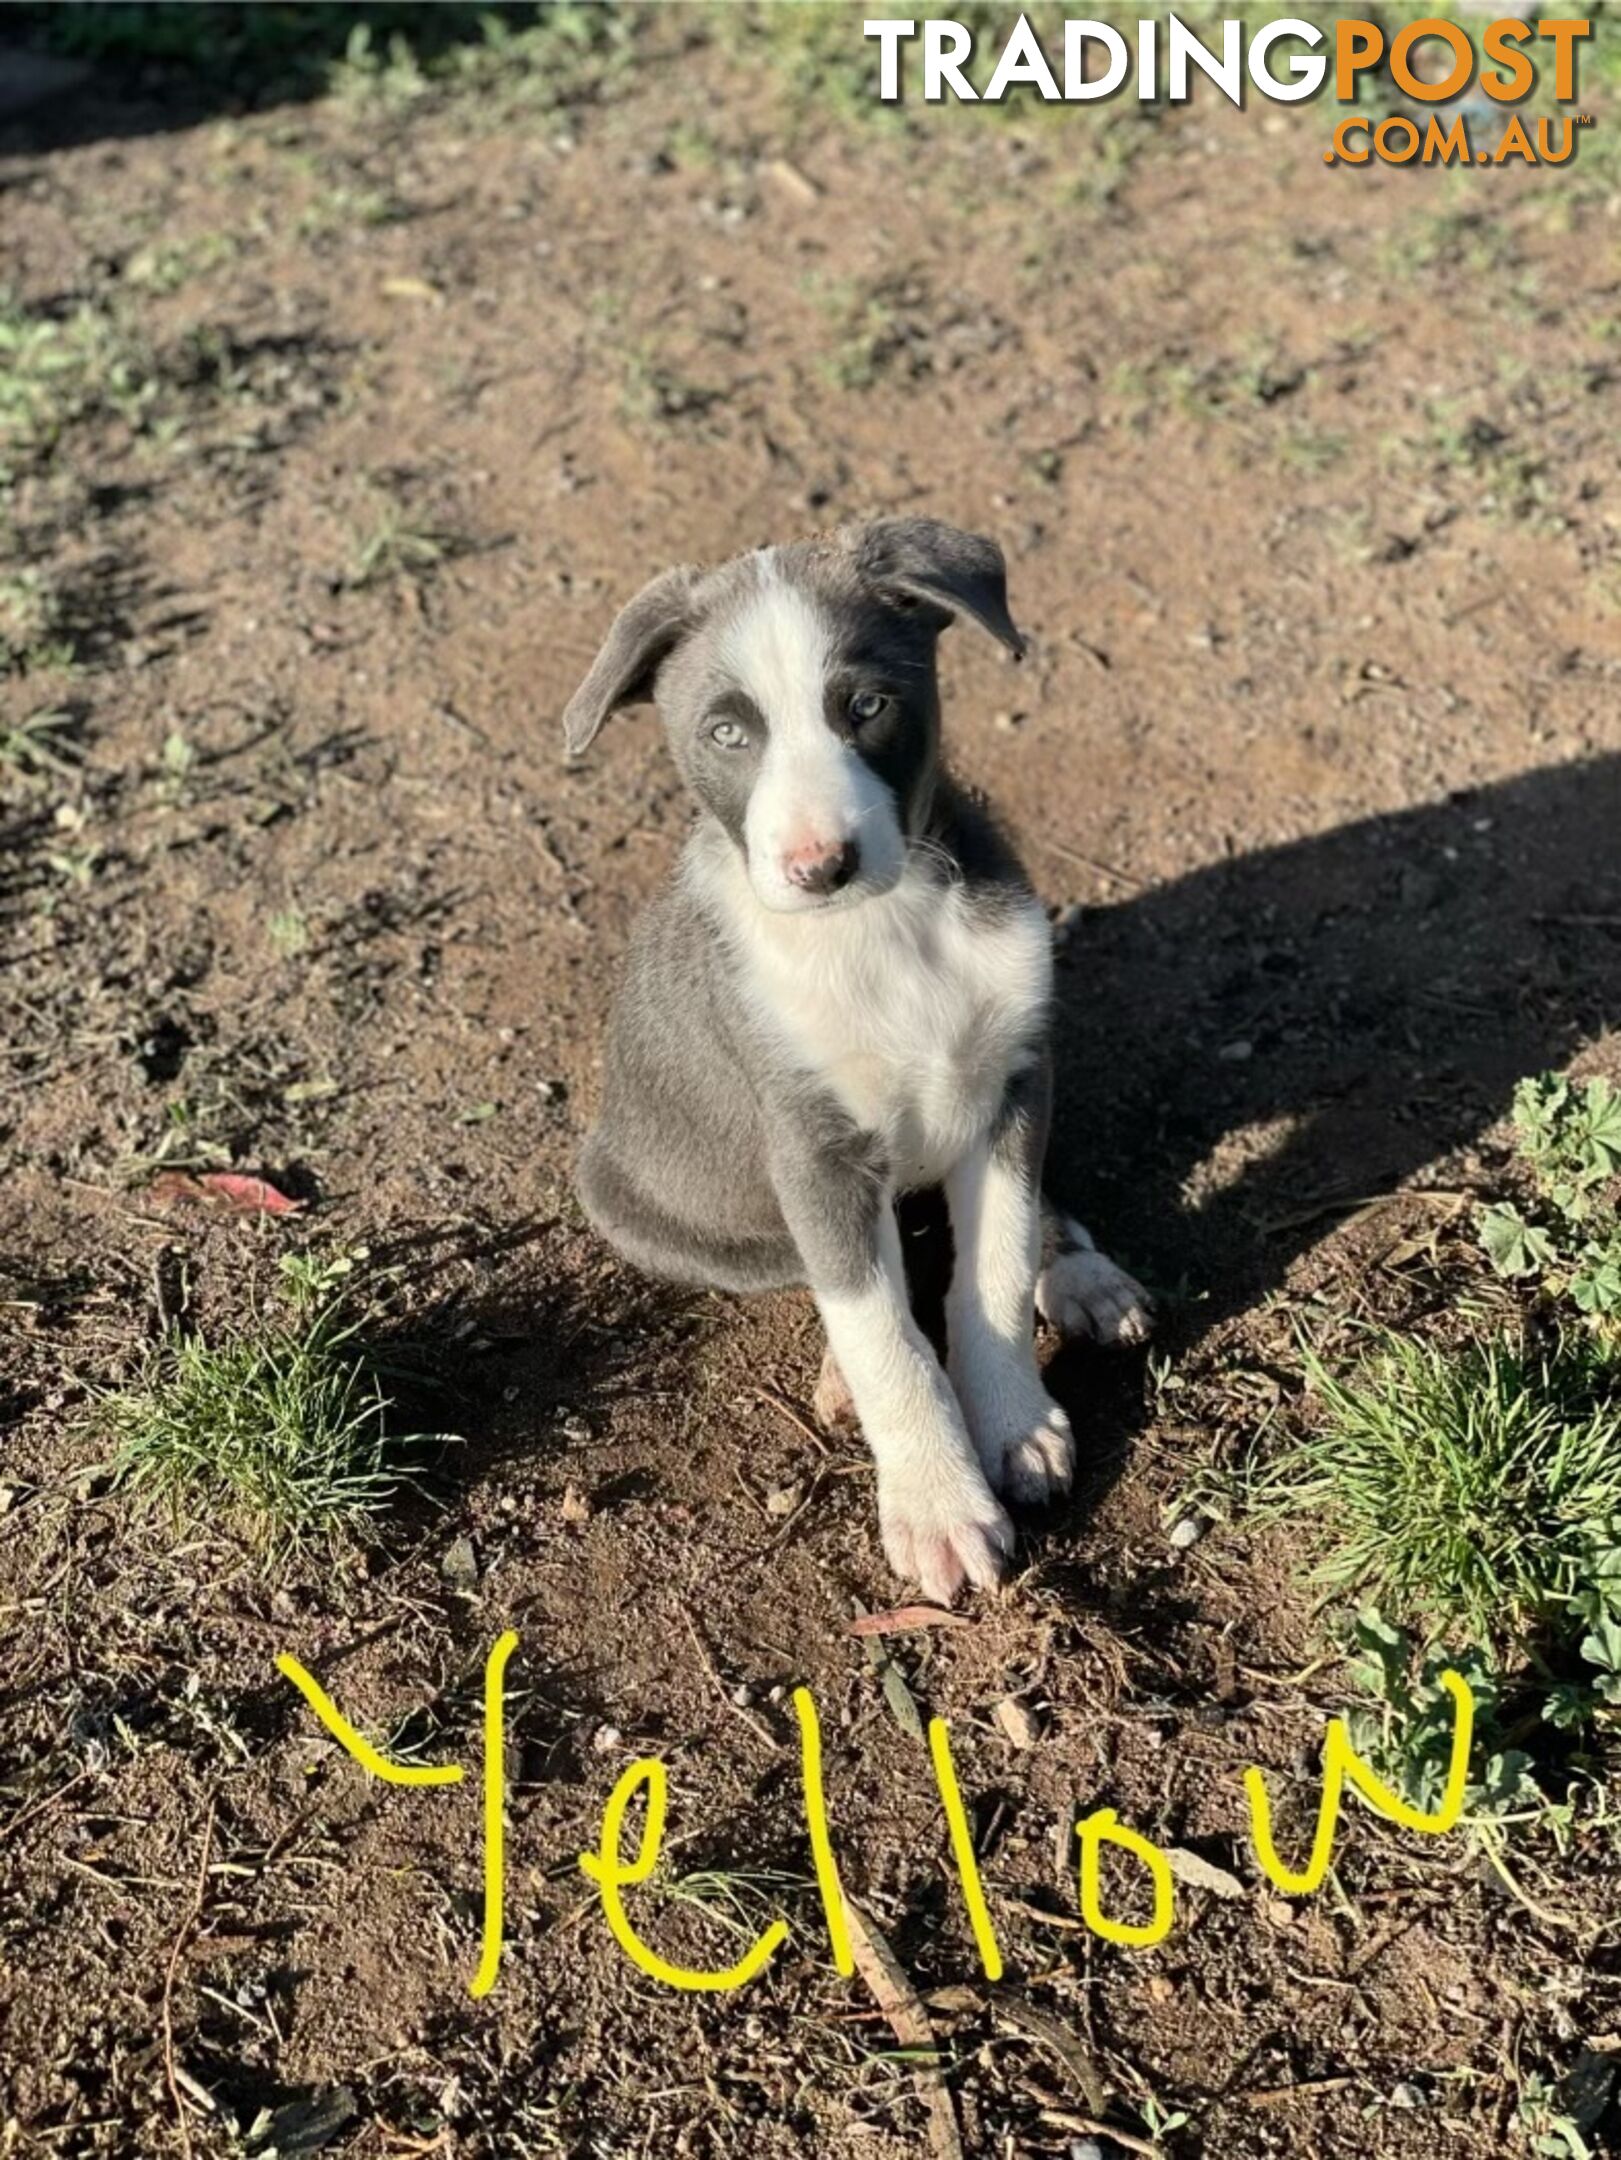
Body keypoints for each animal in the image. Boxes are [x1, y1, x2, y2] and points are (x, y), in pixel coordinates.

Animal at [566, 518, 1149, 1607]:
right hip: (631, 1200)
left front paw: (1011, 1421)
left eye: (867, 706)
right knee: (827, 1276)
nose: (817, 867)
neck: (884, 930)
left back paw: (1080, 1271)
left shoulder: (1011, 1089)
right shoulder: (813, 1150)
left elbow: (992, 1268)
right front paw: (936, 1504)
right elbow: (881, 1329)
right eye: (727, 733)